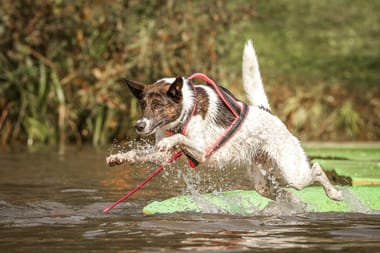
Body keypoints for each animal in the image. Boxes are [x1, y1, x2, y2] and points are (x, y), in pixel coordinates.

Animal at [107, 39, 344, 202]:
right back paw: (294, 203)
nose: (139, 126)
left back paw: (334, 194)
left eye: (157, 105)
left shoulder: (202, 150)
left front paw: (170, 141)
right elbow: (137, 154)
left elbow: (179, 140)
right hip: (261, 183)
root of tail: (268, 112)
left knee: (317, 169)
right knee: (281, 192)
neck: (184, 113)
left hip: (294, 173)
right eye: (142, 105)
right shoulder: (161, 157)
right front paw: (119, 157)